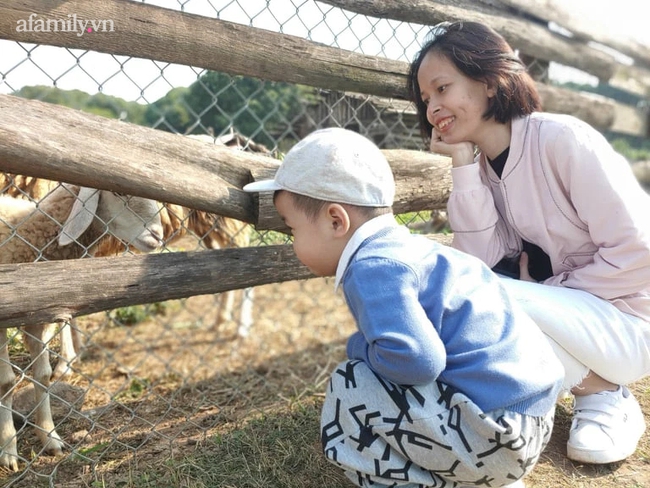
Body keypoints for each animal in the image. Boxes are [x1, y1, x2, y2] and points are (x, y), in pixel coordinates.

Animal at [0, 182, 162, 468]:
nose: (157, 235)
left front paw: (49, 437)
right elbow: (6, 382)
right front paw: (8, 449)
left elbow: (43, 376)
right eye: (118, 192)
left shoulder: (37, 319)